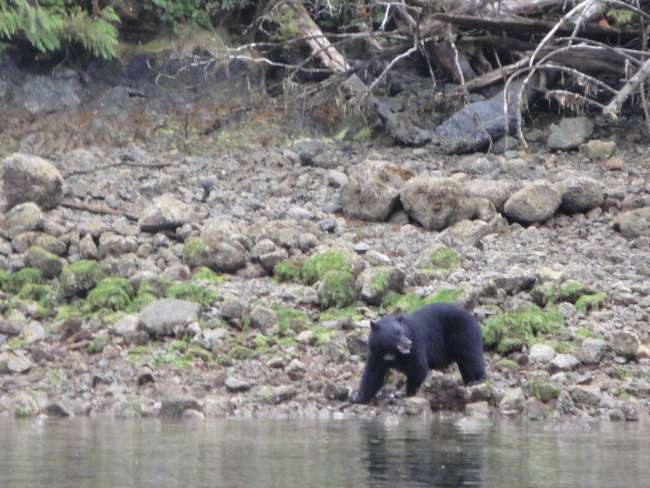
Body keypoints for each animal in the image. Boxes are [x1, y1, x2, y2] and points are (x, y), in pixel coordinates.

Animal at [352, 304, 484, 402]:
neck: (392, 352)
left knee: (471, 357)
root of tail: (472, 317)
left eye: (402, 331)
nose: (408, 343)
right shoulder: (377, 353)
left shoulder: (415, 346)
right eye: (396, 334)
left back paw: (478, 380)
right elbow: (372, 374)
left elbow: (418, 367)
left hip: (464, 334)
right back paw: (468, 382)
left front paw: (408, 393)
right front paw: (358, 398)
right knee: (466, 364)